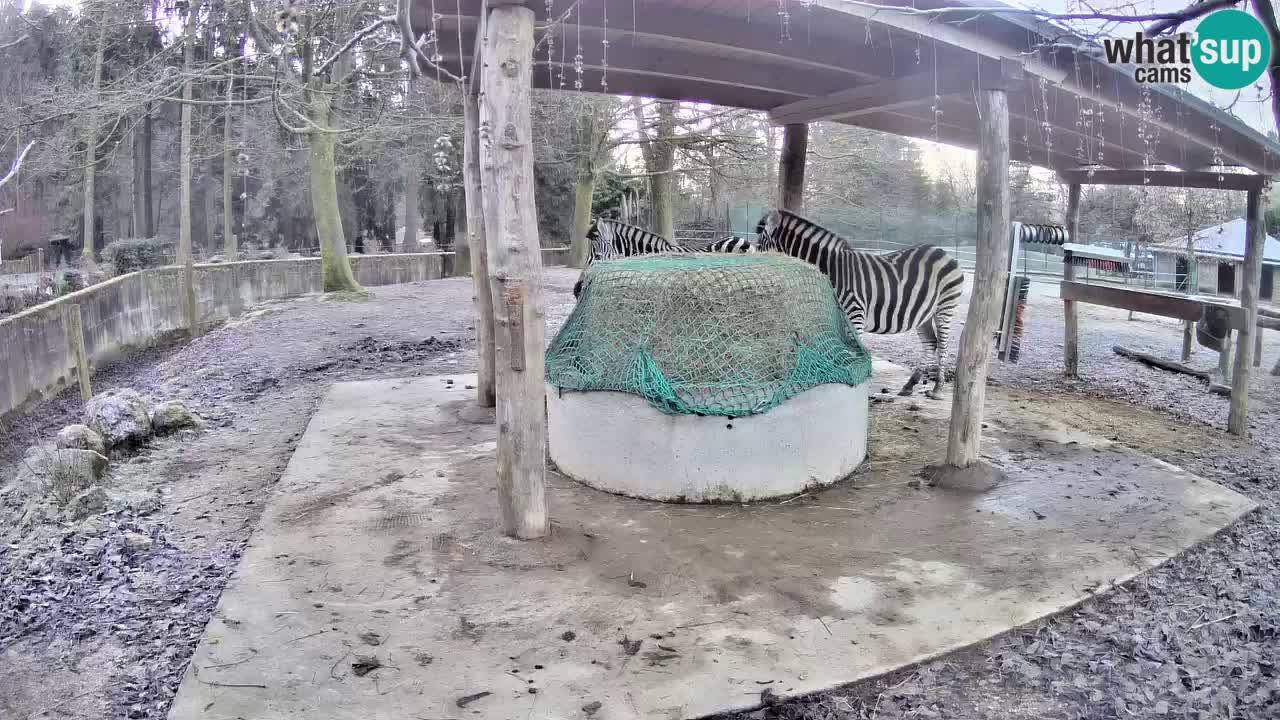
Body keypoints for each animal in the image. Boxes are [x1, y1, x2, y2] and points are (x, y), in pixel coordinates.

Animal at [752, 207, 962, 397]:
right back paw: (910, 385)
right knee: (930, 343)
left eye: (760, 240)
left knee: (942, 345)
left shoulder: (855, 314)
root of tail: (942, 251)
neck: (832, 268)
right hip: (923, 313)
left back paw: (938, 388)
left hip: (945, 307)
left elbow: (854, 354)